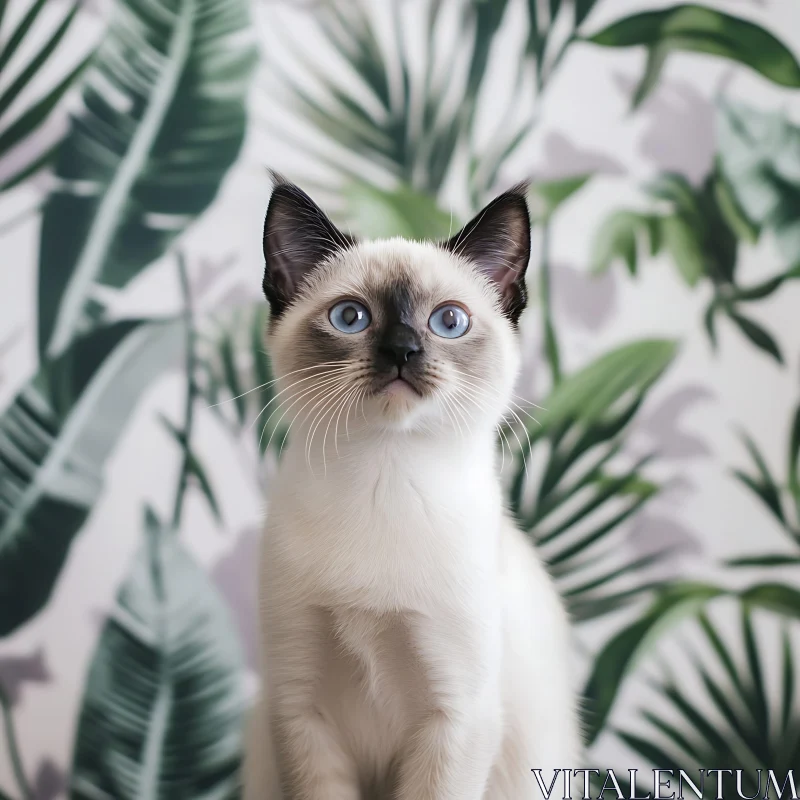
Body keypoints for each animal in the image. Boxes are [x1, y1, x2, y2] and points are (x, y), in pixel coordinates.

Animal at [244, 177, 580, 800]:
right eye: (350, 317)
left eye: (448, 322)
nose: (402, 351)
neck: (385, 474)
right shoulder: (301, 712)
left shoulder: (456, 718)